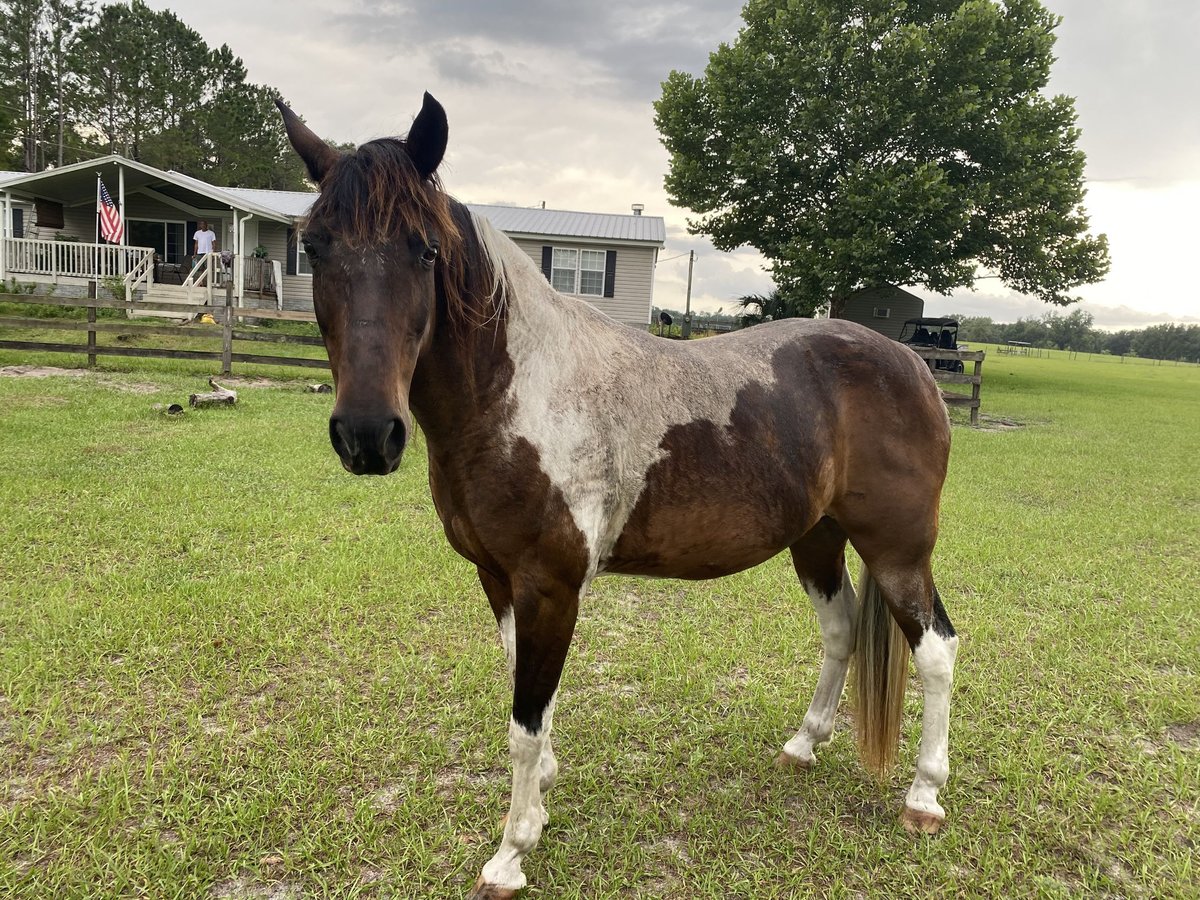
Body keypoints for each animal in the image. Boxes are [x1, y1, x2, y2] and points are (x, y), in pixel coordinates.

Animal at [277, 92, 959, 899]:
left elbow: (524, 722)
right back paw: (803, 744)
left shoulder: (550, 585)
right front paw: (539, 804)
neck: (518, 394)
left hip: (898, 550)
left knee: (937, 649)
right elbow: (528, 702)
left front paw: (510, 854)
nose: (366, 434)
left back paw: (924, 797)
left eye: (425, 250)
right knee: (841, 631)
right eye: (316, 247)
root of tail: (913, 364)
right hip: (817, 540)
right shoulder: (498, 579)